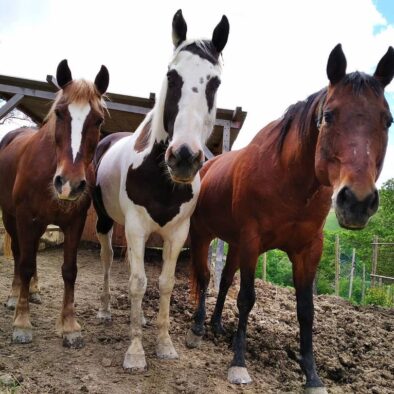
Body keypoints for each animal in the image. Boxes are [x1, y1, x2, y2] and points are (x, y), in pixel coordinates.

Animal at [0, 59, 109, 348]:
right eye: (59, 113)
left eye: (98, 119)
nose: (69, 183)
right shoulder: (26, 218)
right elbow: (25, 264)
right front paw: (22, 322)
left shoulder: (74, 222)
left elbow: (69, 270)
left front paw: (69, 326)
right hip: (11, 218)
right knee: (19, 254)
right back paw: (15, 296)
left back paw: (34, 291)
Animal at [92, 9, 228, 370]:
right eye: (172, 75)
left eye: (215, 82)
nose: (184, 157)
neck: (162, 178)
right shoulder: (137, 227)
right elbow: (138, 283)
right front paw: (135, 351)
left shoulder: (178, 233)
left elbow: (165, 284)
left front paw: (164, 343)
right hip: (104, 221)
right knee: (108, 259)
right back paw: (105, 310)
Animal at [185, 43, 394, 390]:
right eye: (329, 115)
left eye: (388, 120)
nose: (357, 201)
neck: (289, 179)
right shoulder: (252, 241)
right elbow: (246, 298)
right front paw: (239, 363)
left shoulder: (307, 250)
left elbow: (306, 310)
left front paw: (312, 375)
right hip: (203, 235)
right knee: (203, 277)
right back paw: (199, 327)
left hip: (234, 243)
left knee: (224, 280)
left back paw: (216, 325)